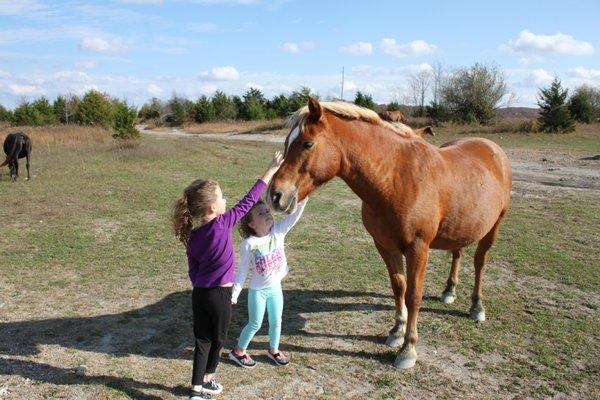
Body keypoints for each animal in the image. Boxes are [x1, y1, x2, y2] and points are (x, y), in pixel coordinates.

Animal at [270, 99, 510, 368]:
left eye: (307, 143)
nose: (276, 195)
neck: (395, 178)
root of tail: (492, 148)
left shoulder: (418, 248)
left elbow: (413, 295)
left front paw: (408, 349)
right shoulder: (385, 246)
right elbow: (399, 287)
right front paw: (396, 331)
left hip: (494, 226)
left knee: (480, 262)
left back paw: (477, 306)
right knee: (457, 253)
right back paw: (449, 291)